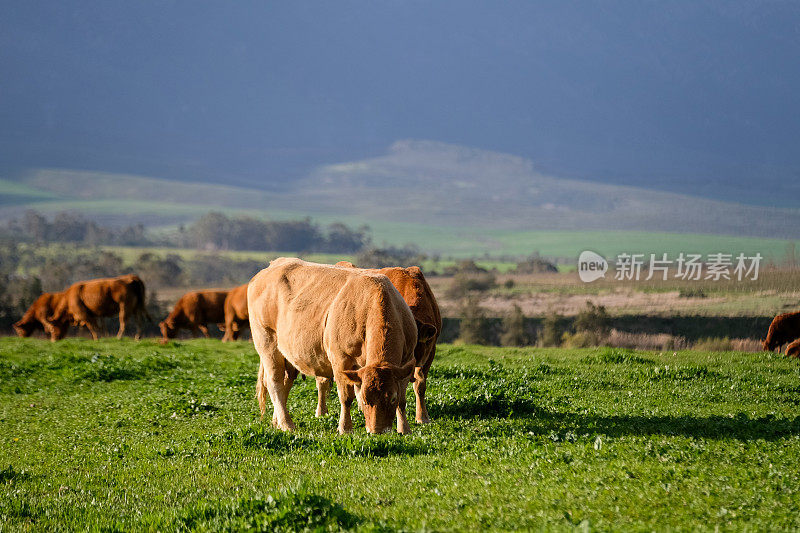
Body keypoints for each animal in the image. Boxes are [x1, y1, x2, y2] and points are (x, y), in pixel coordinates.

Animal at [250, 256, 416, 434]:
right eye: (365, 400)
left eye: (392, 398)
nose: (377, 431)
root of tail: (274, 264)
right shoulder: (340, 359)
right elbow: (346, 397)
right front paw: (345, 428)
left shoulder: (406, 363)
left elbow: (402, 400)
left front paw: (404, 428)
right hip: (267, 343)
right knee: (274, 383)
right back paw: (287, 424)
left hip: (288, 356)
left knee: (285, 384)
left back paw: (277, 422)